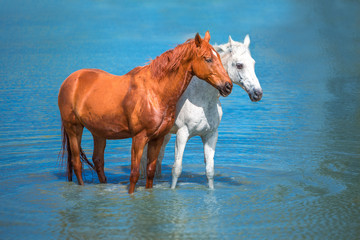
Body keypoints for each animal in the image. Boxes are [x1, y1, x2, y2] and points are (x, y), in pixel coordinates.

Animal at [58, 31, 233, 193]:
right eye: (207, 58)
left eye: (218, 56)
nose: (228, 86)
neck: (155, 92)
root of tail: (71, 79)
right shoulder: (139, 138)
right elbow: (134, 174)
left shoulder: (157, 138)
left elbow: (150, 172)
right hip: (74, 128)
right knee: (77, 163)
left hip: (99, 132)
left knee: (98, 161)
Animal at [140, 34, 262, 188]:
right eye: (239, 65)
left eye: (253, 63)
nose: (258, 93)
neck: (202, 100)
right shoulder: (182, 134)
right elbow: (176, 169)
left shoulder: (211, 135)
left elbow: (209, 170)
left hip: (164, 135)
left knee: (158, 160)